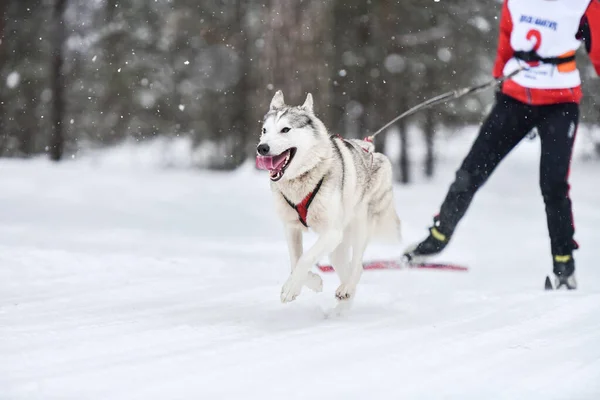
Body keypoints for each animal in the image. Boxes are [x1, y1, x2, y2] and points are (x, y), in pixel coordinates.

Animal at [255, 90, 400, 304]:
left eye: (285, 129)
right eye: (265, 130)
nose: (262, 148)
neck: (302, 177)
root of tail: (375, 153)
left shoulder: (331, 232)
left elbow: (306, 258)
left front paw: (291, 288)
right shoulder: (291, 228)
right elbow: (295, 261)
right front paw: (312, 282)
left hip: (357, 228)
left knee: (357, 265)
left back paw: (347, 288)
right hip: (338, 247)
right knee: (344, 266)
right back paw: (344, 296)